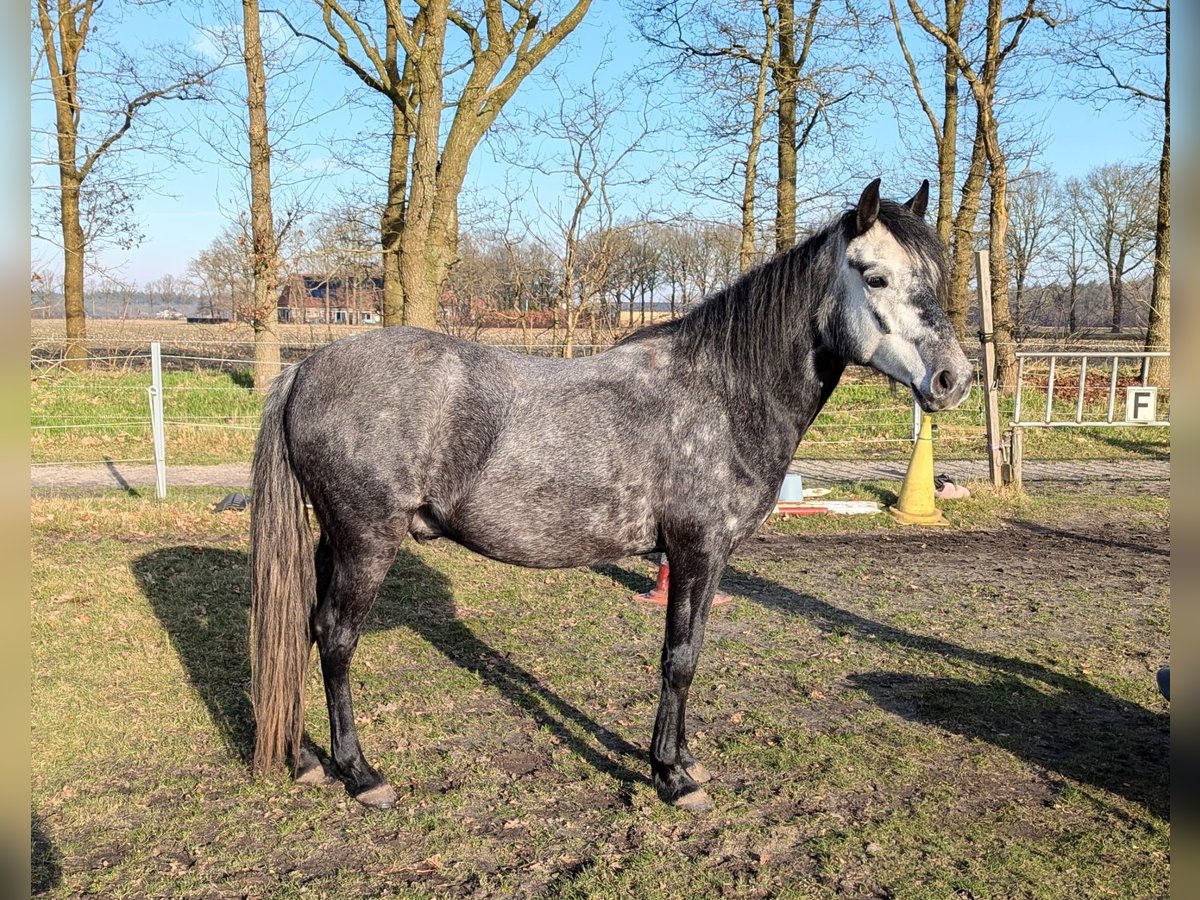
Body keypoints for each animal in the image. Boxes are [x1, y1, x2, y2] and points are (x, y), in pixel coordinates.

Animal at [248, 180, 969, 816]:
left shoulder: (706, 559)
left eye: (933, 277)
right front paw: (672, 776)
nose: (953, 379)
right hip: (368, 541)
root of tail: (305, 368)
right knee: (336, 637)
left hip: (333, 540)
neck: (723, 390)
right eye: (874, 277)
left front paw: (682, 759)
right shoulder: (696, 551)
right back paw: (360, 773)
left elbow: (690, 651)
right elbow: (680, 660)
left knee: (306, 630)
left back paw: (305, 759)